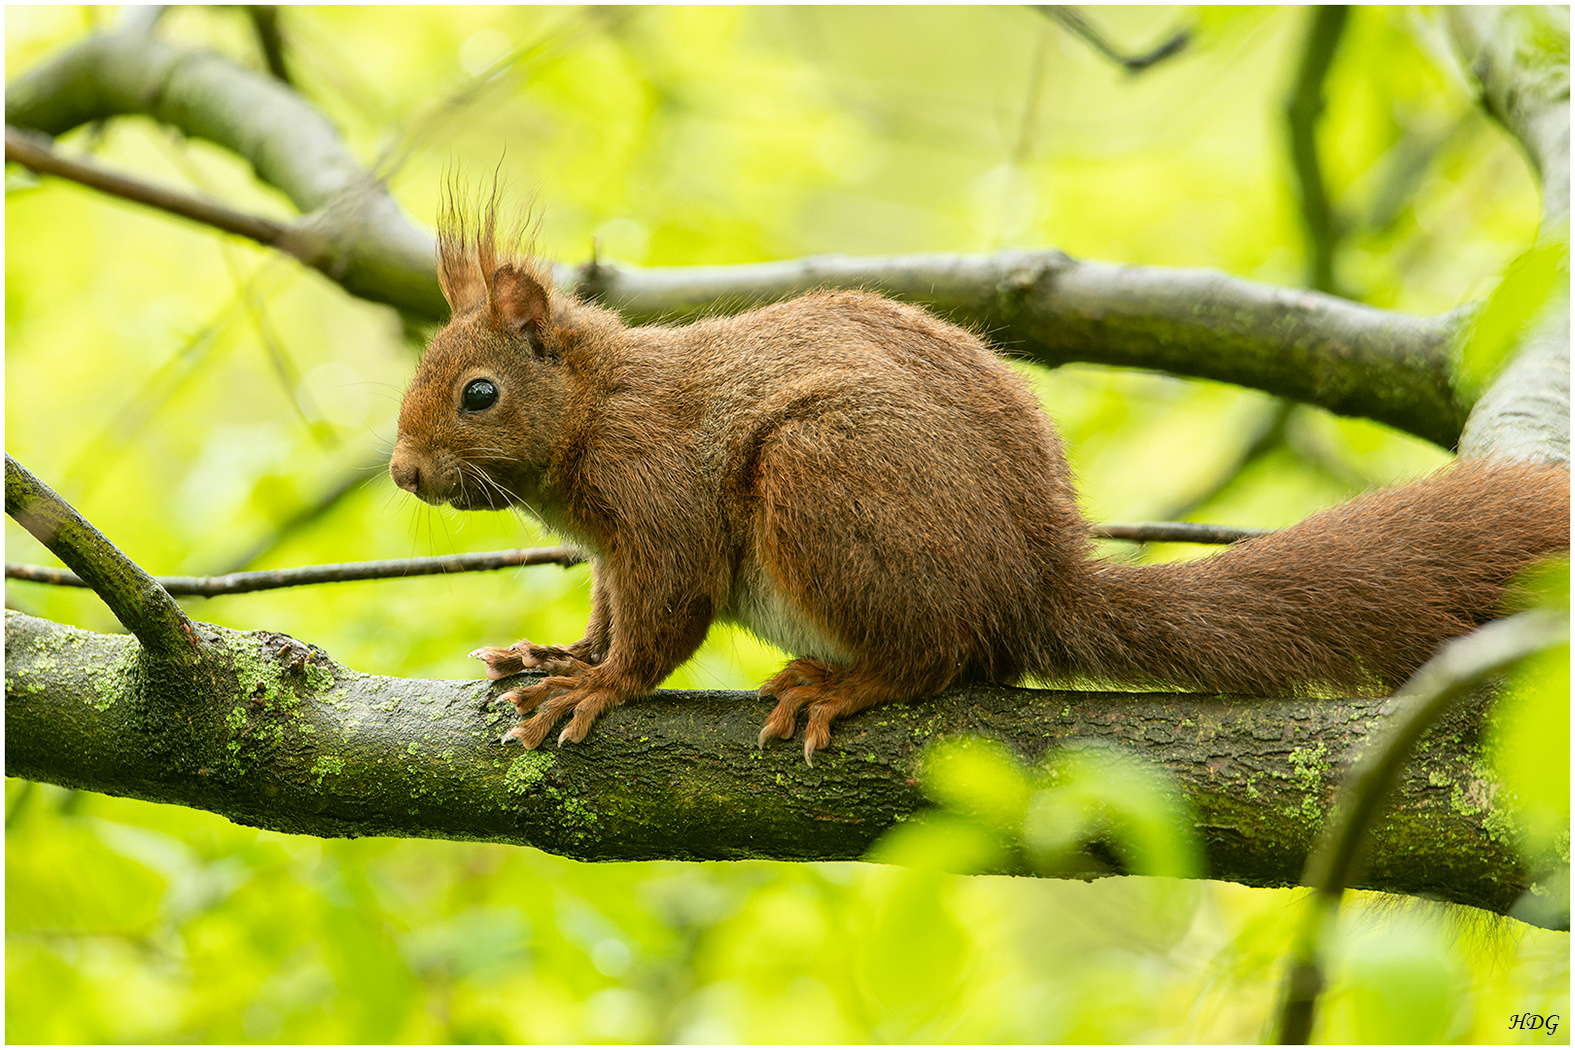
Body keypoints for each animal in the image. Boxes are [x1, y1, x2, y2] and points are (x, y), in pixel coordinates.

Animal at [387, 196, 1568, 758]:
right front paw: (558, 653)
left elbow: (664, 614)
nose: (401, 472)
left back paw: (848, 682)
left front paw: (598, 685)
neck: (596, 407)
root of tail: (1034, 586)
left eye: (478, 394)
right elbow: (606, 607)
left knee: (940, 656)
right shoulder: (608, 548)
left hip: (824, 477)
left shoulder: (658, 493)